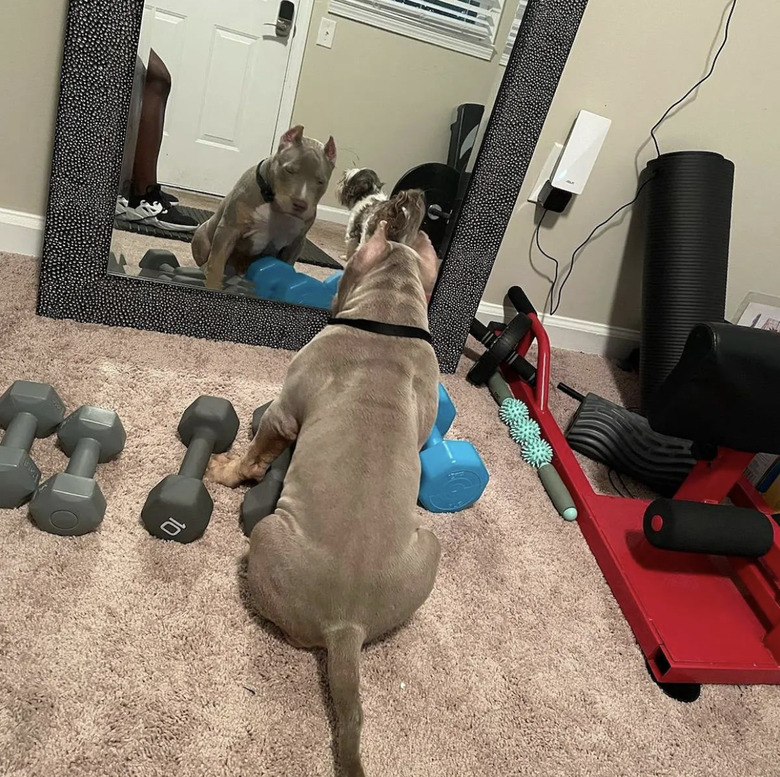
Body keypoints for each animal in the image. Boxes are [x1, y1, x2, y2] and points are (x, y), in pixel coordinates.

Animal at [191, 126, 336, 290]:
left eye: (321, 181)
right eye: (289, 170)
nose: (300, 204)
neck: (273, 204)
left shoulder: (296, 243)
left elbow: (287, 268)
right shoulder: (228, 230)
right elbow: (216, 263)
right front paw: (213, 286)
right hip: (201, 235)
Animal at [206, 215, 438, 772]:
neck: (391, 312)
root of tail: (347, 625)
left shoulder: (284, 411)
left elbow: (255, 455)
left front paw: (226, 469)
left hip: (269, 535)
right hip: (430, 547)